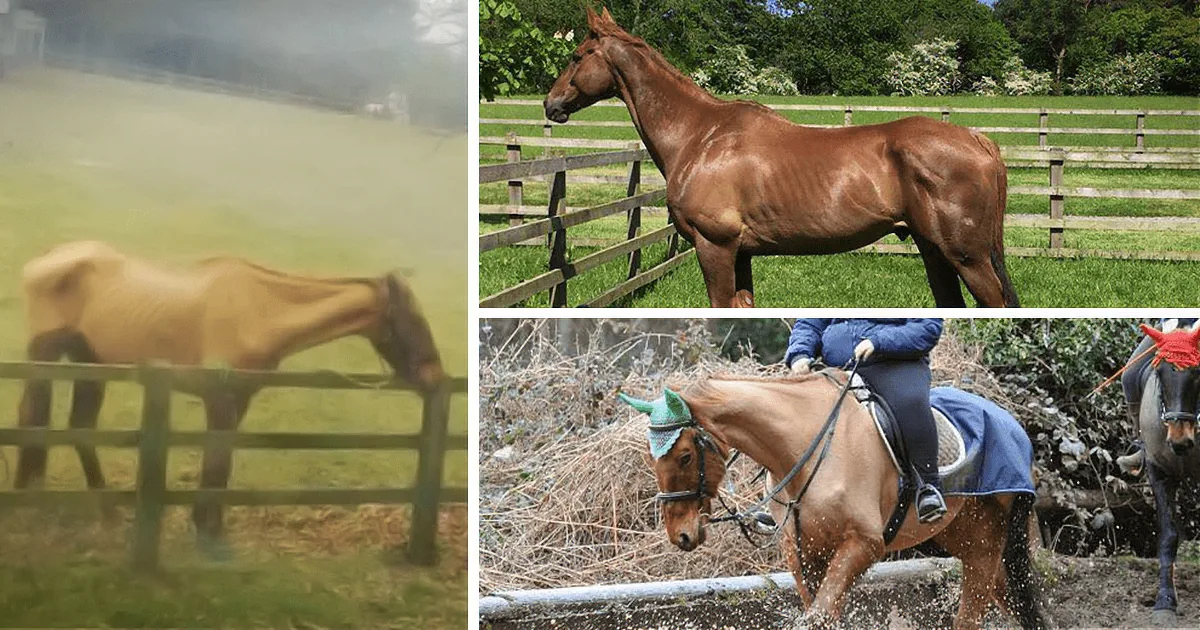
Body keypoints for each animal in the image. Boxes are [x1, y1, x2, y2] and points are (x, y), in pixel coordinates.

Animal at [12, 240, 444, 556]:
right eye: (411, 320)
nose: (435, 377)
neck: (260, 310)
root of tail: (46, 260)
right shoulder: (219, 399)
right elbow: (218, 461)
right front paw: (207, 532)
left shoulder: (240, 399)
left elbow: (222, 461)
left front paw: (209, 525)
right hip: (46, 357)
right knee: (32, 417)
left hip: (90, 363)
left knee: (80, 429)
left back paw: (107, 512)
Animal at [545, 8, 1018, 309]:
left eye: (576, 56)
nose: (551, 104)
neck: (701, 136)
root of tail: (978, 140)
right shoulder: (741, 254)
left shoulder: (715, 246)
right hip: (934, 251)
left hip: (968, 257)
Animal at [619, 371, 1052, 629]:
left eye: (684, 456)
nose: (681, 535)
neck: (805, 450)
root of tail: (1012, 424)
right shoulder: (803, 551)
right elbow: (823, 611)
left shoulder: (863, 544)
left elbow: (819, 616)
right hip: (969, 538)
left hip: (987, 541)